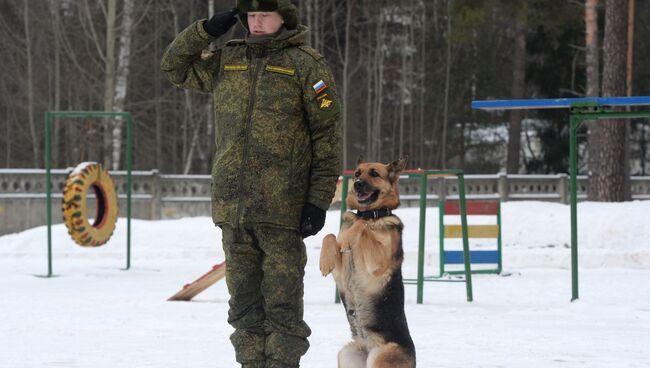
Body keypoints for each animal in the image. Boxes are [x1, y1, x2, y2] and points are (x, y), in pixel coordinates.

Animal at [318, 157, 416, 368]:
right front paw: (325, 261)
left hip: (380, 358)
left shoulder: (378, 264)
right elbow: (330, 235)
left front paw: (350, 236)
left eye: (374, 174)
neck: (373, 214)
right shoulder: (340, 273)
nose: (356, 184)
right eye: (357, 173)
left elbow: (362, 225)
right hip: (346, 354)